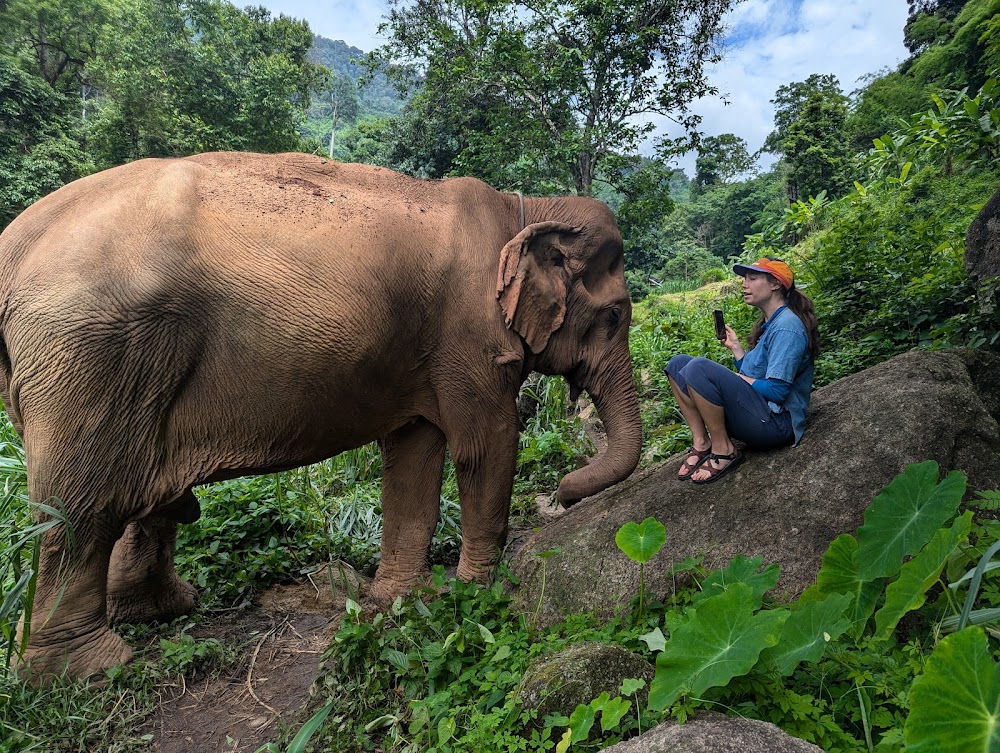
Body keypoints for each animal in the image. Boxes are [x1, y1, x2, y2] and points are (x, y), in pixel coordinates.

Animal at [0, 150, 640, 680]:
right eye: (614, 316)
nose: (565, 489)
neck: (523, 208)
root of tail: (13, 245)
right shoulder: (469, 334)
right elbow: (486, 444)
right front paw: (479, 596)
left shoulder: (423, 352)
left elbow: (414, 453)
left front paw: (395, 603)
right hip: (89, 355)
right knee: (80, 511)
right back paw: (91, 667)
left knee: (138, 494)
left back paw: (160, 612)